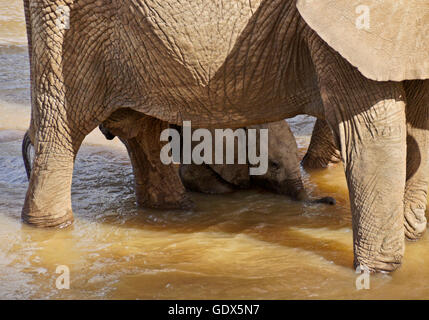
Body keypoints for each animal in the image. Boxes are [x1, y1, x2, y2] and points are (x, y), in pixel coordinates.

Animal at [23, 0, 428, 272]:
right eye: (273, 165)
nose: (327, 202)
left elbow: (419, 124)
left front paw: (411, 235)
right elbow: (372, 131)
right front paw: (379, 271)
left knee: (138, 129)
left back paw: (174, 209)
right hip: (63, 24)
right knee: (64, 125)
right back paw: (49, 227)